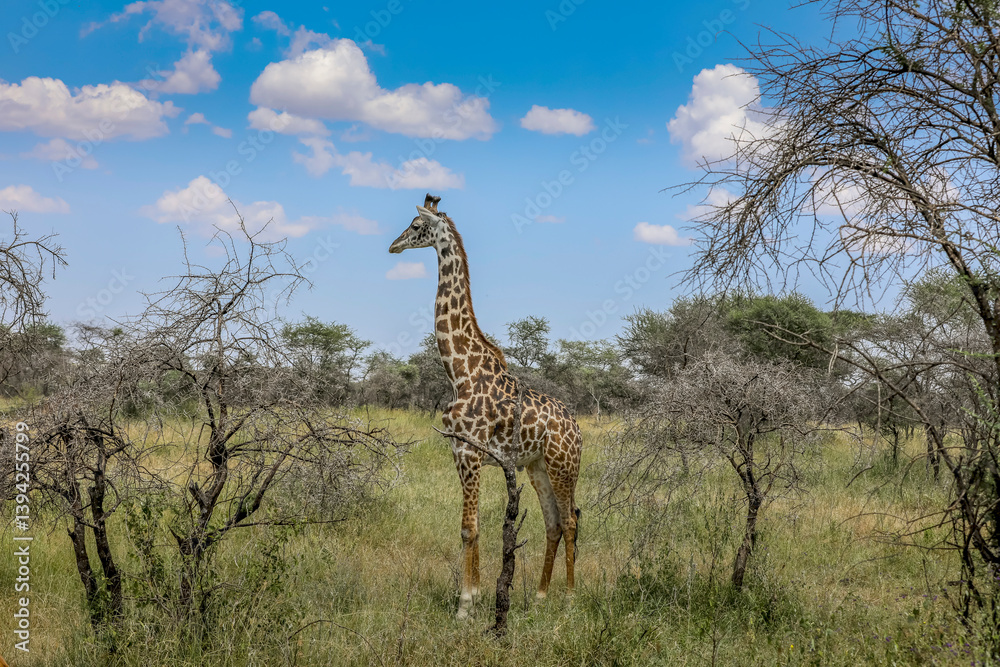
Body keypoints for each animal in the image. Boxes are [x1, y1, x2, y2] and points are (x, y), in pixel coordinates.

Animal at [389, 194, 583, 620]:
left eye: (416, 225)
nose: (393, 245)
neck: (460, 370)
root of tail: (578, 430)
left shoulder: (470, 451)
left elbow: (468, 527)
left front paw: (464, 606)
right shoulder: (458, 450)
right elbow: (473, 524)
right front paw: (476, 596)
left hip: (564, 467)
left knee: (571, 521)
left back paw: (568, 599)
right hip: (537, 467)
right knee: (553, 523)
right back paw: (541, 596)